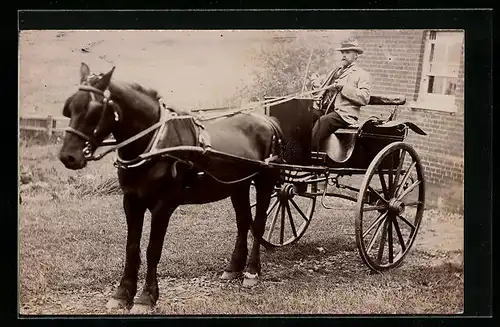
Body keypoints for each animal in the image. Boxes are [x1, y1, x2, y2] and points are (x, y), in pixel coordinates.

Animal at [58, 62, 284, 316]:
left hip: (264, 183)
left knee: (259, 224)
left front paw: (146, 297)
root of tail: (267, 121)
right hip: (238, 185)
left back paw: (252, 271)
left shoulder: (162, 206)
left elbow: (152, 249)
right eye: (69, 107)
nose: (68, 156)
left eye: (95, 109)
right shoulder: (131, 202)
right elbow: (131, 248)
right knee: (243, 222)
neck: (154, 145)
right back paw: (234, 267)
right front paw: (122, 294)